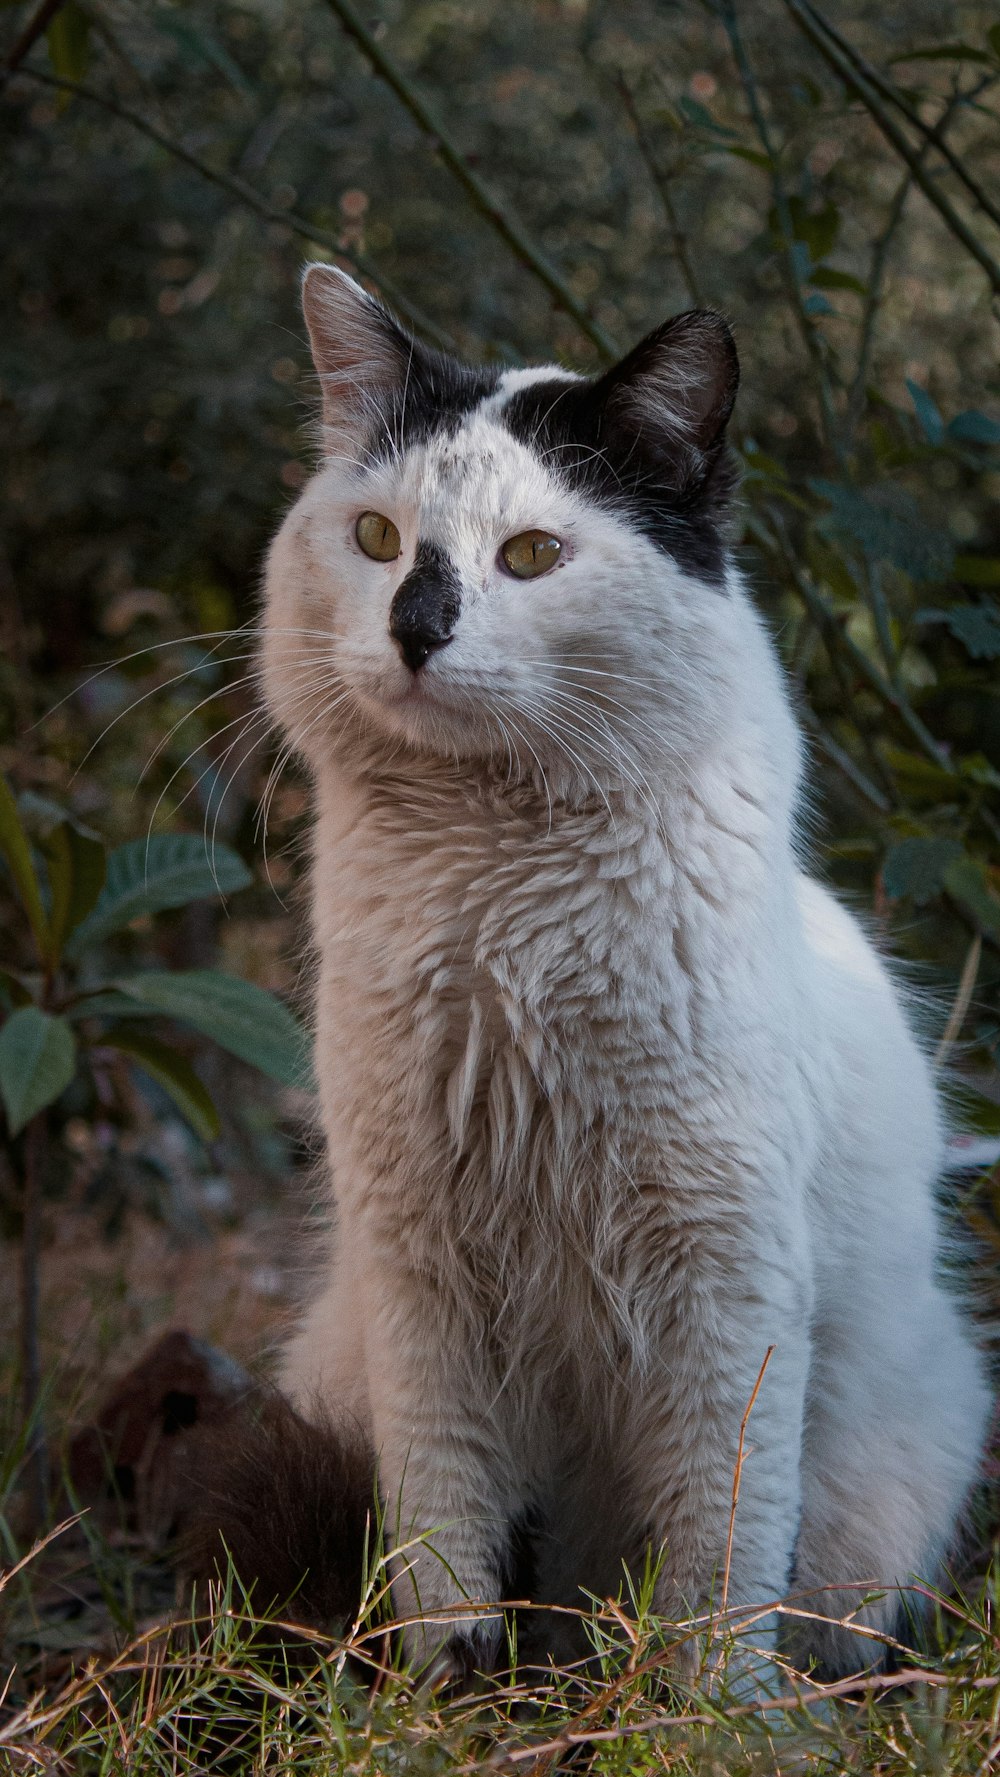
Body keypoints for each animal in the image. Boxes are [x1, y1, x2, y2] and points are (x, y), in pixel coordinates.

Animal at [191, 266, 987, 1691]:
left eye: (530, 556)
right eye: (378, 537)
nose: (415, 626)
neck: (497, 905)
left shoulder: (723, 1274)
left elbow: (719, 1539)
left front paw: (706, 1706)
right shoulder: (419, 1262)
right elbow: (442, 1524)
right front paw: (443, 1693)